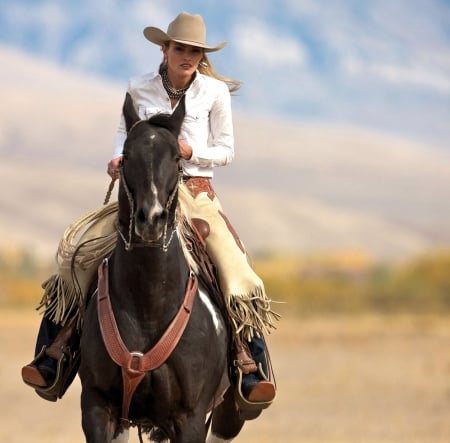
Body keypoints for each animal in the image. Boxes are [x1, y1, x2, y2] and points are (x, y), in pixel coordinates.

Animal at [78, 94, 246, 443]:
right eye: (127, 154)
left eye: (177, 158)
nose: (151, 219)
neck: (149, 306)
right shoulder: (98, 408)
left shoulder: (190, 418)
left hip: (229, 413)